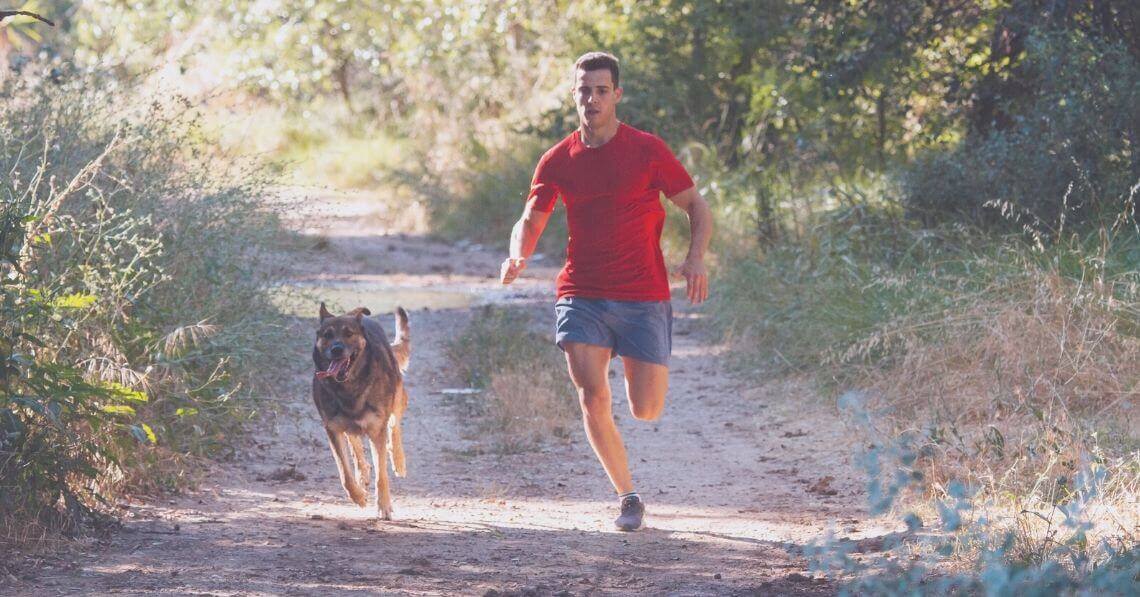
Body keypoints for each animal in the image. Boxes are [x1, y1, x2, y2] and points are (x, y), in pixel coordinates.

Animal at [314, 303, 412, 517]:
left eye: (349, 333)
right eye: (327, 335)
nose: (336, 349)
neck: (349, 387)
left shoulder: (376, 430)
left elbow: (381, 474)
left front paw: (384, 506)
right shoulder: (333, 429)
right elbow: (345, 473)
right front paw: (358, 496)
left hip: (398, 398)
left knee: (394, 425)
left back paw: (399, 460)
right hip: (347, 424)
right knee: (354, 443)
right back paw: (362, 473)